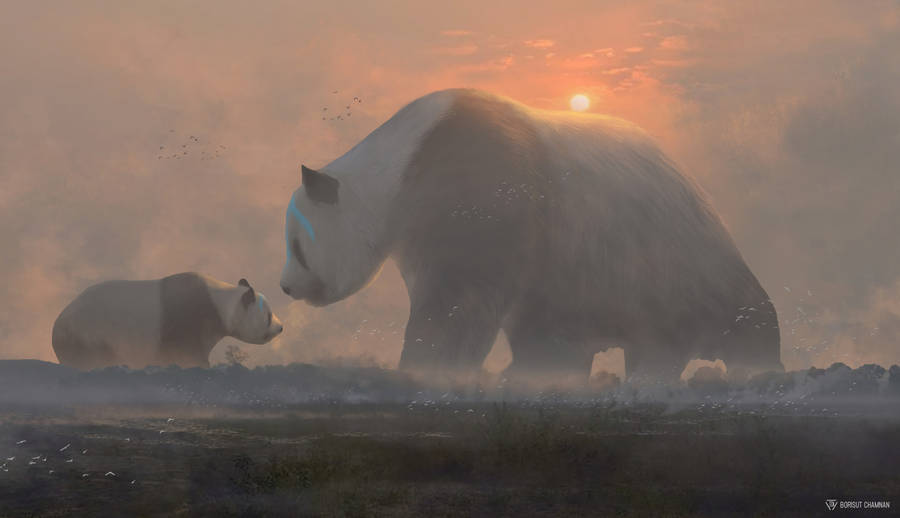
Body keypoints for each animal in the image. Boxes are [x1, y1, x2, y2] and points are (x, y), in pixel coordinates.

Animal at [52, 273, 282, 370]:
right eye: (269, 315)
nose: (280, 327)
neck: (220, 303)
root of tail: (58, 322)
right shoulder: (188, 315)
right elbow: (185, 349)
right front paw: (200, 365)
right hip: (92, 333)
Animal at [280, 88, 782, 384]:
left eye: (296, 246)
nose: (285, 286)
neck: (402, 165)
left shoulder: (481, 189)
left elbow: (459, 301)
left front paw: (425, 365)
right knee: (562, 329)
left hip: (667, 251)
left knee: (733, 320)